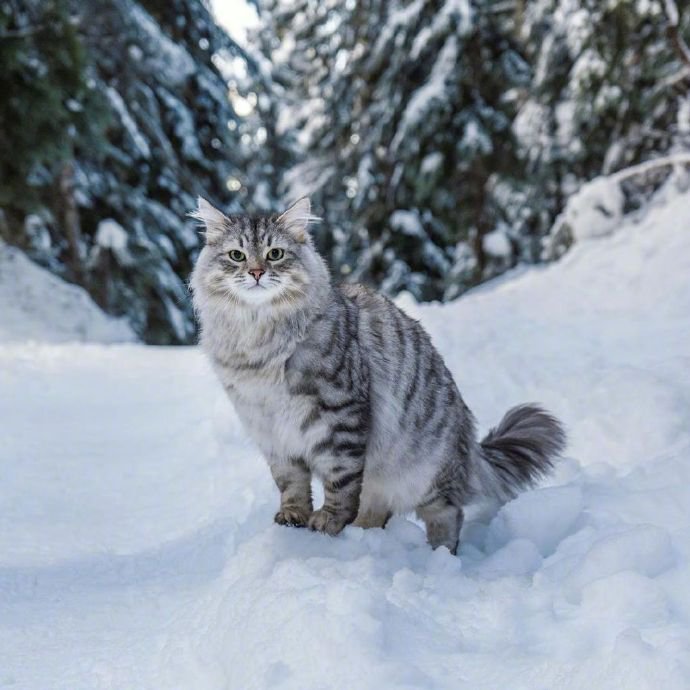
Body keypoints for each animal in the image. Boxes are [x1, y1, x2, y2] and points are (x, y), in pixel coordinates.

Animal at [188, 196, 564, 552]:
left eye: (275, 254)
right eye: (236, 255)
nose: (255, 272)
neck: (258, 341)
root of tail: (469, 442)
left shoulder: (340, 417)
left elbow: (340, 485)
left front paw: (327, 522)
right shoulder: (271, 432)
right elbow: (291, 484)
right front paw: (294, 516)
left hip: (425, 473)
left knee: (447, 515)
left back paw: (439, 556)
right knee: (377, 511)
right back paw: (362, 532)